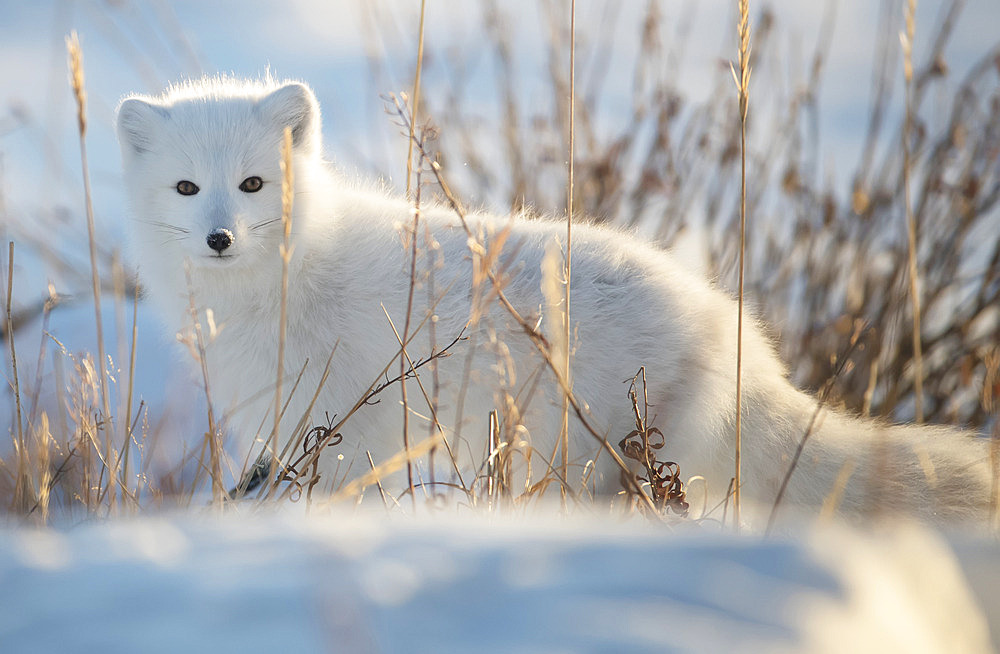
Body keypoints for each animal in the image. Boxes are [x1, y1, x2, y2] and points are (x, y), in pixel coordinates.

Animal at [115, 78, 984, 524]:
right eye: (187, 188)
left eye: (253, 184)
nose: (219, 236)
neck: (284, 279)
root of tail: (735, 338)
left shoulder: (347, 419)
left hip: (578, 448)